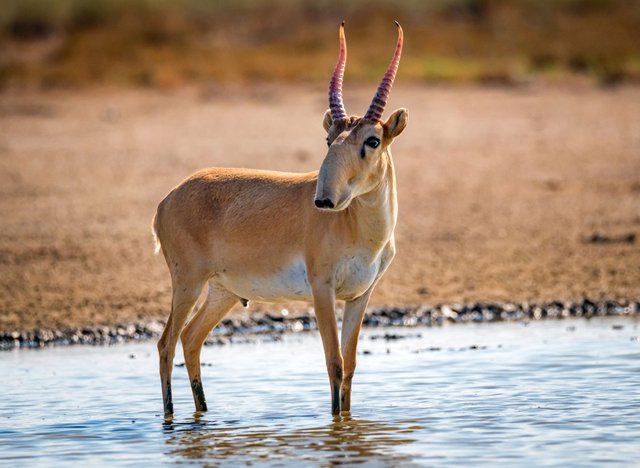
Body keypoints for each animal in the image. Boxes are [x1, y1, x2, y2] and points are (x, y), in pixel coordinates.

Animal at [152, 22, 408, 416]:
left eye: (373, 140)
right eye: (329, 137)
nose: (324, 199)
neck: (359, 230)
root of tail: (167, 200)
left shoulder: (360, 295)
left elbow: (350, 365)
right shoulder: (322, 289)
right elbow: (334, 363)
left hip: (222, 292)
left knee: (190, 338)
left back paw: (203, 412)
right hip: (188, 283)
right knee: (166, 343)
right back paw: (170, 418)